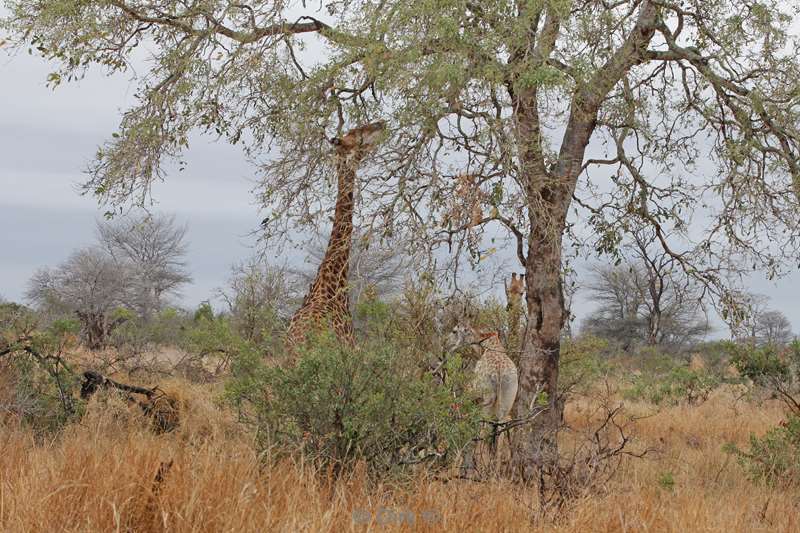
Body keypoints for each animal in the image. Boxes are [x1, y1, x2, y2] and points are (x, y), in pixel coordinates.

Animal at [450, 316, 520, 474]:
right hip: (506, 400)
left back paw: (481, 466)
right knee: (501, 428)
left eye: (455, 331)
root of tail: (500, 373)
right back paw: (496, 469)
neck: (485, 344)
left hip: (487, 403)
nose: (450, 346)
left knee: (484, 429)